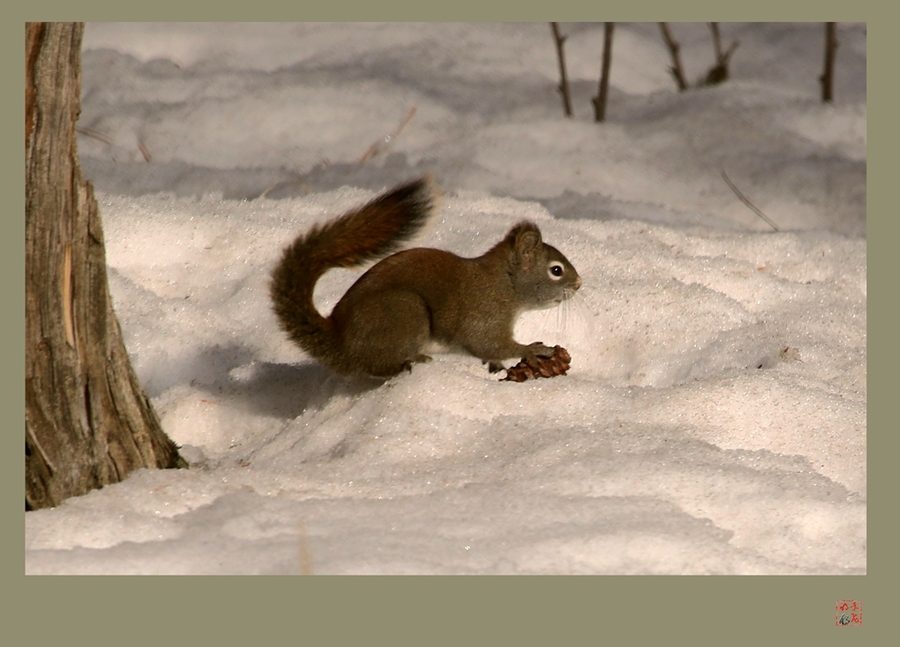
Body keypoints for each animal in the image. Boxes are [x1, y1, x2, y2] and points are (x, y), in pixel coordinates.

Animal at [268, 177, 580, 380]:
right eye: (556, 270)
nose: (579, 285)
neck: (504, 284)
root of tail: (342, 343)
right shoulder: (484, 315)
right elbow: (489, 343)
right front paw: (533, 350)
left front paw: (497, 366)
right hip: (405, 311)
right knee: (375, 366)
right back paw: (408, 362)